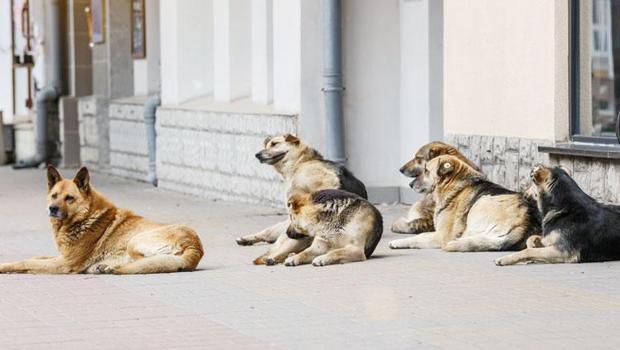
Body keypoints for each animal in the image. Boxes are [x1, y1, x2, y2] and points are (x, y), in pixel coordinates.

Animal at [0, 165, 203, 274]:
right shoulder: (60, 256)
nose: (52, 209)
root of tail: (195, 246)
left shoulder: (64, 263)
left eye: (69, 198)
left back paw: (108, 268)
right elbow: (34, 257)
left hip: (134, 241)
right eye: (54, 196)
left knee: (142, 263)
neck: (85, 218)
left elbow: (27, 263)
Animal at [388, 156, 536, 252]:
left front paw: (397, 242)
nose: (410, 184)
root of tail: (524, 223)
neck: (455, 186)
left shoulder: (442, 236)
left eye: (426, 171)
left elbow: (418, 237)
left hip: (481, 202)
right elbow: (421, 235)